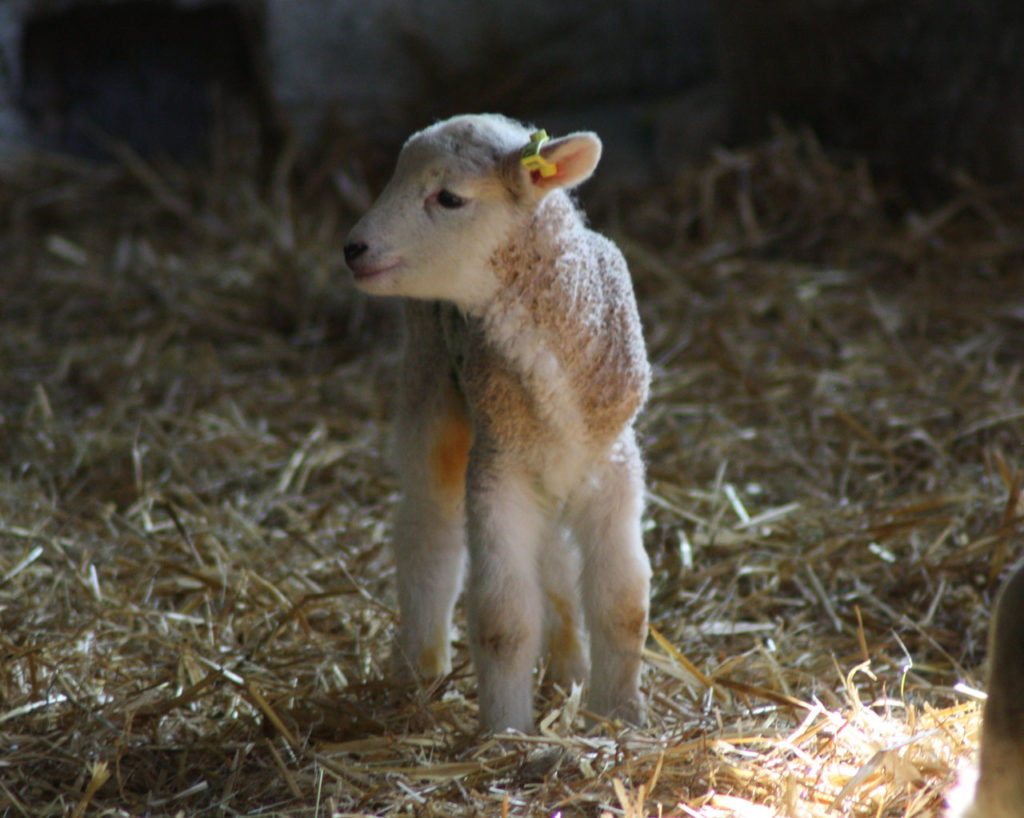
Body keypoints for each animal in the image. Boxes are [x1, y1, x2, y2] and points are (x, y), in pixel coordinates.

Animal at [342, 112, 647, 733]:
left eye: (449, 197)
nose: (352, 248)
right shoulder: (498, 466)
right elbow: (503, 620)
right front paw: (508, 732)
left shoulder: (612, 464)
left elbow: (623, 604)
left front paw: (619, 718)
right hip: (429, 375)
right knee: (428, 525)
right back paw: (418, 669)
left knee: (554, 563)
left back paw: (568, 670)